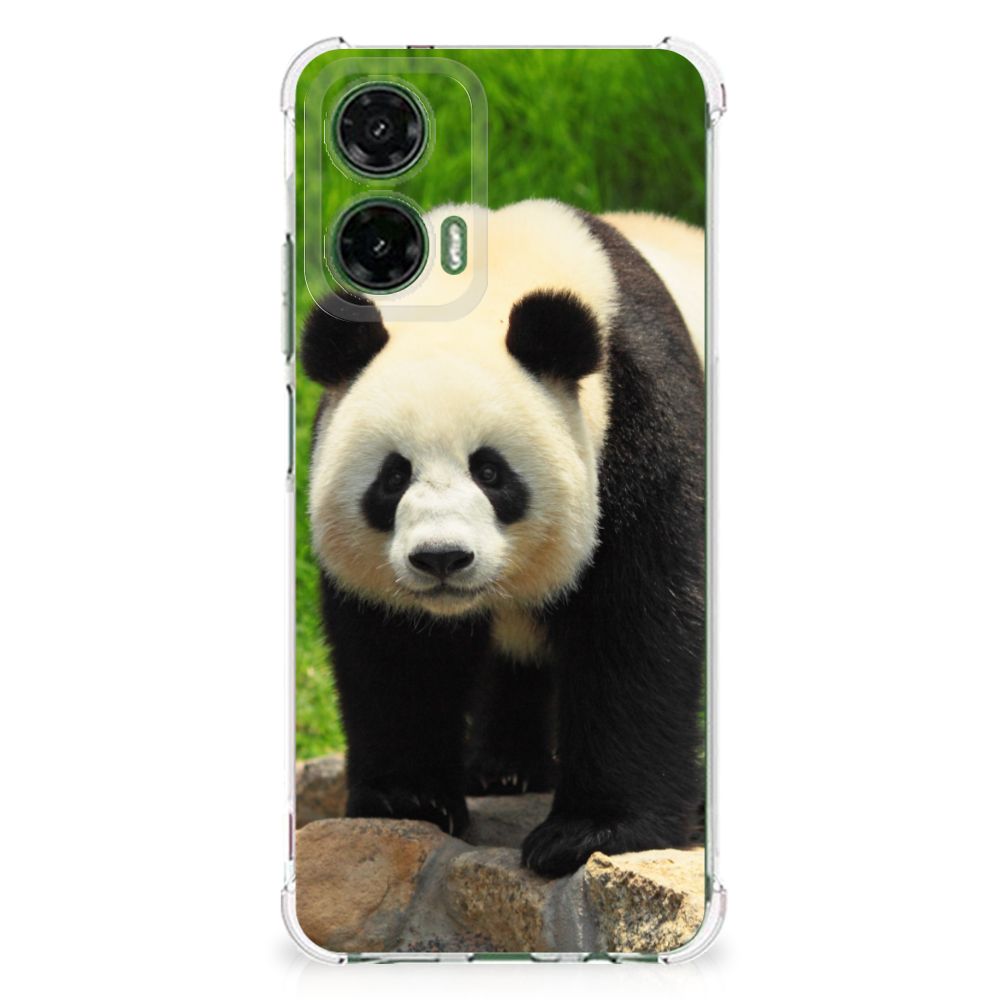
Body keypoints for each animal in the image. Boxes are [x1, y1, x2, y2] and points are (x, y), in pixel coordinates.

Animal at [302, 199, 705, 877]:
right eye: (393, 476)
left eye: (490, 472)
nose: (441, 558)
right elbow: (395, 649)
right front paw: (408, 800)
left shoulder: (641, 419)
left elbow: (639, 624)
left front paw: (589, 832)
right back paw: (504, 769)